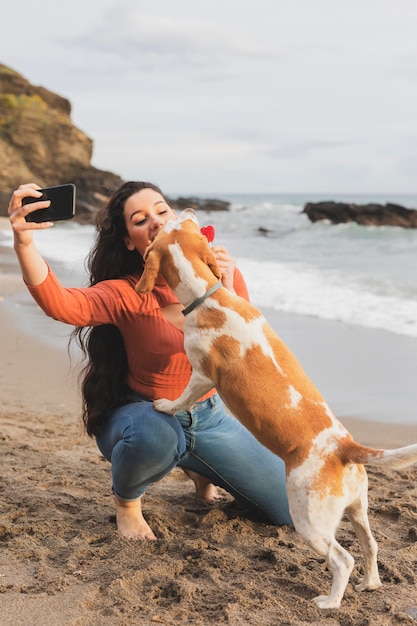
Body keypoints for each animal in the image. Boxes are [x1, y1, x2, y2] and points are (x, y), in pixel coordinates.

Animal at [136, 207, 416, 608]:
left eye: (169, 222)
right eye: (181, 223)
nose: (187, 210)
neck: (210, 297)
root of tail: (345, 446)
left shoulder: (202, 376)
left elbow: (182, 399)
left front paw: (164, 406)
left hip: (308, 520)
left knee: (342, 559)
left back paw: (329, 602)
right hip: (358, 510)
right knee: (371, 545)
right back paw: (371, 584)